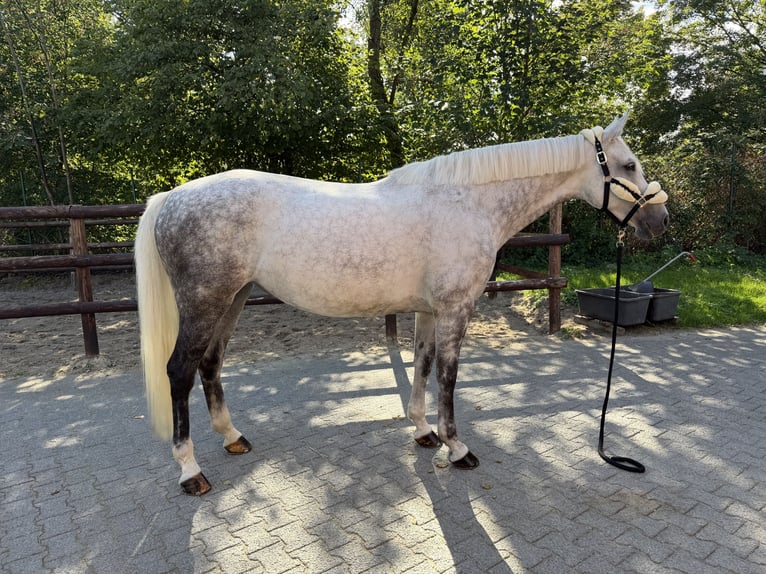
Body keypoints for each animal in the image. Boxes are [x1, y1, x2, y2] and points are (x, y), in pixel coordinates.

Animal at [135, 112, 668, 495]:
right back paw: (190, 471)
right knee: (180, 370)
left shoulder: (428, 310)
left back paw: (232, 438)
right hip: (205, 301)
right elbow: (449, 376)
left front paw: (423, 431)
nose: (659, 221)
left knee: (210, 363)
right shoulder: (455, 308)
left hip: (234, 298)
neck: (467, 202)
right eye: (628, 166)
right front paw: (457, 447)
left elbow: (422, 364)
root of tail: (172, 197)